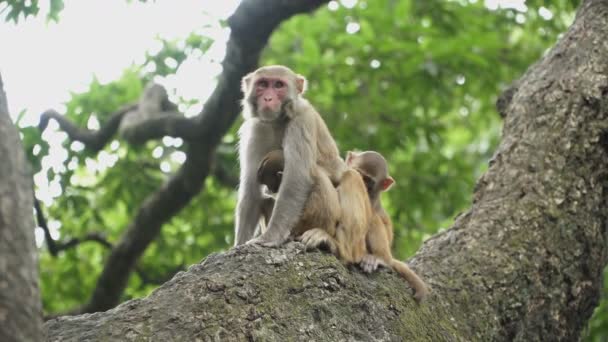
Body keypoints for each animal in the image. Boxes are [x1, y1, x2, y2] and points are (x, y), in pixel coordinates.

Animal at [234, 65, 346, 246]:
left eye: (279, 85)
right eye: (262, 84)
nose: (268, 98)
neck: (277, 121)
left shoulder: (302, 120)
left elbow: (296, 179)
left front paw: (269, 237)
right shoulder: (256, 129)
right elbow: (251, 189)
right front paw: (239, 244)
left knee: (316, 174)